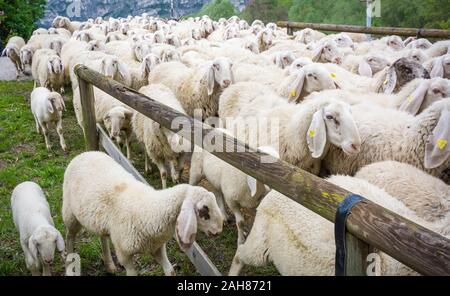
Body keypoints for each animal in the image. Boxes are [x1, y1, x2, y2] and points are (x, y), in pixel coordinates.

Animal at [62, 151, 224, 276]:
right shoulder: (124, 254)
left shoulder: (157, 247)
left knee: (102, 237)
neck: (150, 211)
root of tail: (86, 153)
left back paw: (109, 265)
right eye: (204, 209)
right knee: (69, 236)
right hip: (70, 214)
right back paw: (69, 265)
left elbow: (170, 271)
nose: (219, 230)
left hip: (101, 222)